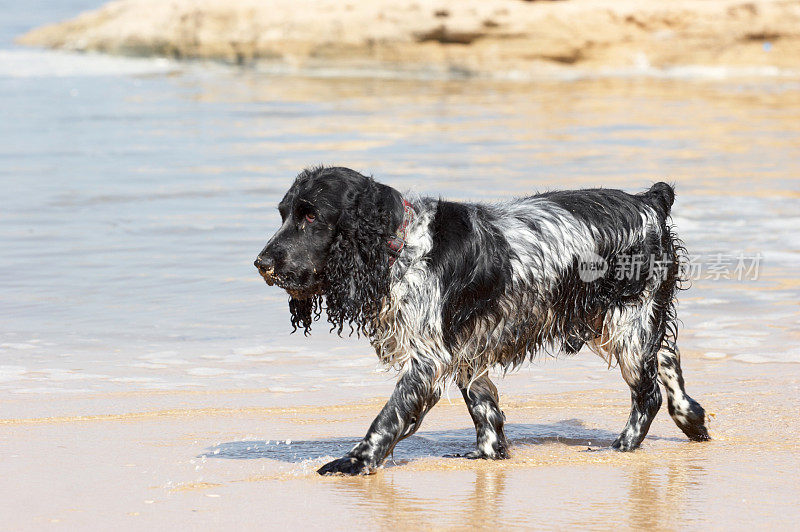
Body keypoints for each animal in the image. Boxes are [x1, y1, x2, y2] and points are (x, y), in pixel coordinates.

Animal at [253, 165, 708, 474]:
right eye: (283, 213)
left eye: (311, 216)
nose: (261, 264)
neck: (400, 245)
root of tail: (649, 201)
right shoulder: (465, 348)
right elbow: (483, 405)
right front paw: (488, 453)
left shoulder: (428, 358)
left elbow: (389, 415)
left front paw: (355, 461)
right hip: (633, 320)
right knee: (668, 361)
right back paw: (693, 421)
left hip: (628, 321)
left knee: (647, 394)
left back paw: (622, 446)